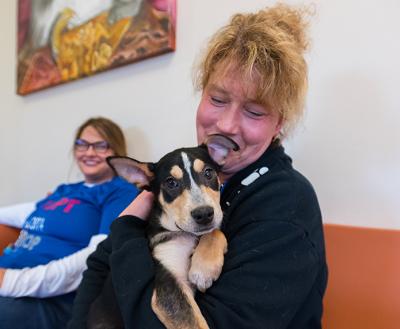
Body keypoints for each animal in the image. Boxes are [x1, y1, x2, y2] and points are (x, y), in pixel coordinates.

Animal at [87, 135, 238, 326]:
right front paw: (203, 270)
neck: (183, 233)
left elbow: (214, 231)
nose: (204, 214)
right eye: (171, 183)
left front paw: (203, 268)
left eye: (208, 173)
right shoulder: (168, 287)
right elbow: (194, 324)